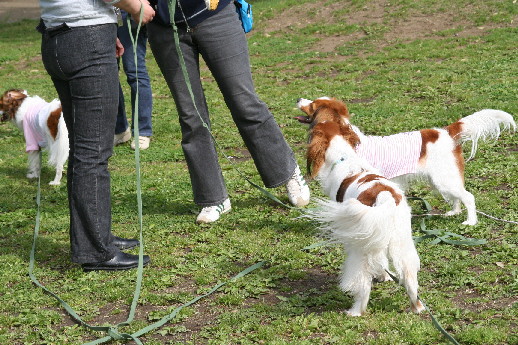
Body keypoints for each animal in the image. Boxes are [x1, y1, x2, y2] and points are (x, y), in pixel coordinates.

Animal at [296, 97, 516, 226]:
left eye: (312, 105)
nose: (299, 98)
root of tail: (445, 131)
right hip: (443, 179)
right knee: (457, 197)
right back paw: (453, 213)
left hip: (445, 179)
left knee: (468, 196)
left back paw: (470, 222)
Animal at [304, 119, 426, 316]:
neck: (344, 156)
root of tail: (385, 195)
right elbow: (382, 261)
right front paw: (384, 276)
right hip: (401, 242)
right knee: (409, 277)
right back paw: (417, 307)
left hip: (359, 250)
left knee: (363, 284)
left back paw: (355, 311)